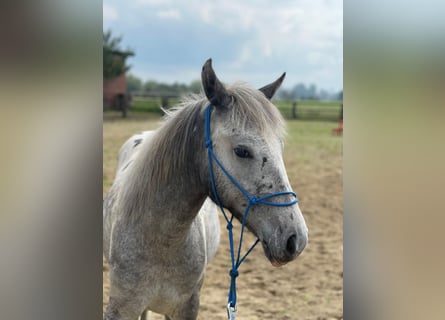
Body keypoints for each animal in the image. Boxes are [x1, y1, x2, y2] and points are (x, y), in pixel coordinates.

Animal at [102, 58, 306, 318]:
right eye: (241, 151)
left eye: (280, 147)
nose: (296, 239)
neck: (160, 243)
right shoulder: (121, 308)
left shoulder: (187, 307)